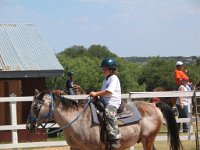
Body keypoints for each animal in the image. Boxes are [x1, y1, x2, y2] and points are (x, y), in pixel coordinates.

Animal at [26, 89, 183, 149]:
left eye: (35, 106)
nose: (28, 127)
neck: (77, 122)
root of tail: (154, 105)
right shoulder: (75, 148)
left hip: (148, 139)